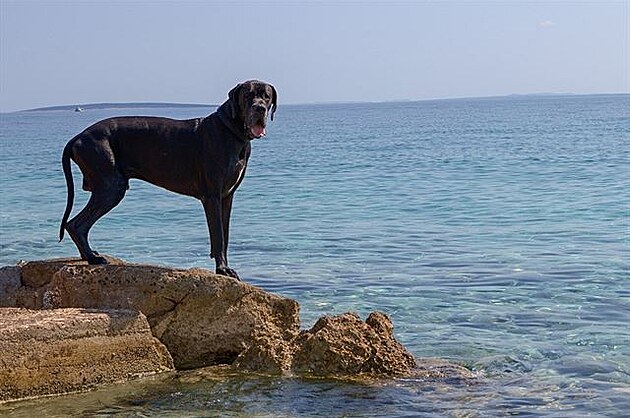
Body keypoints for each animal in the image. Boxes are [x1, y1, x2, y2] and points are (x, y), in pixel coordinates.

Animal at [58, 80, 278, 280]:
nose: (259, 108)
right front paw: (222, 270)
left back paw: (88, 256)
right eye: (247, 95)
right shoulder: (212, 196)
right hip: (111, 187)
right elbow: (218, 236)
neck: (231, 130)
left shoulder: (227, 197)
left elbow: (225, 235)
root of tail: (78, 136)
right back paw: (92, 258)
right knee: (76, 224)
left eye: (266, 97)